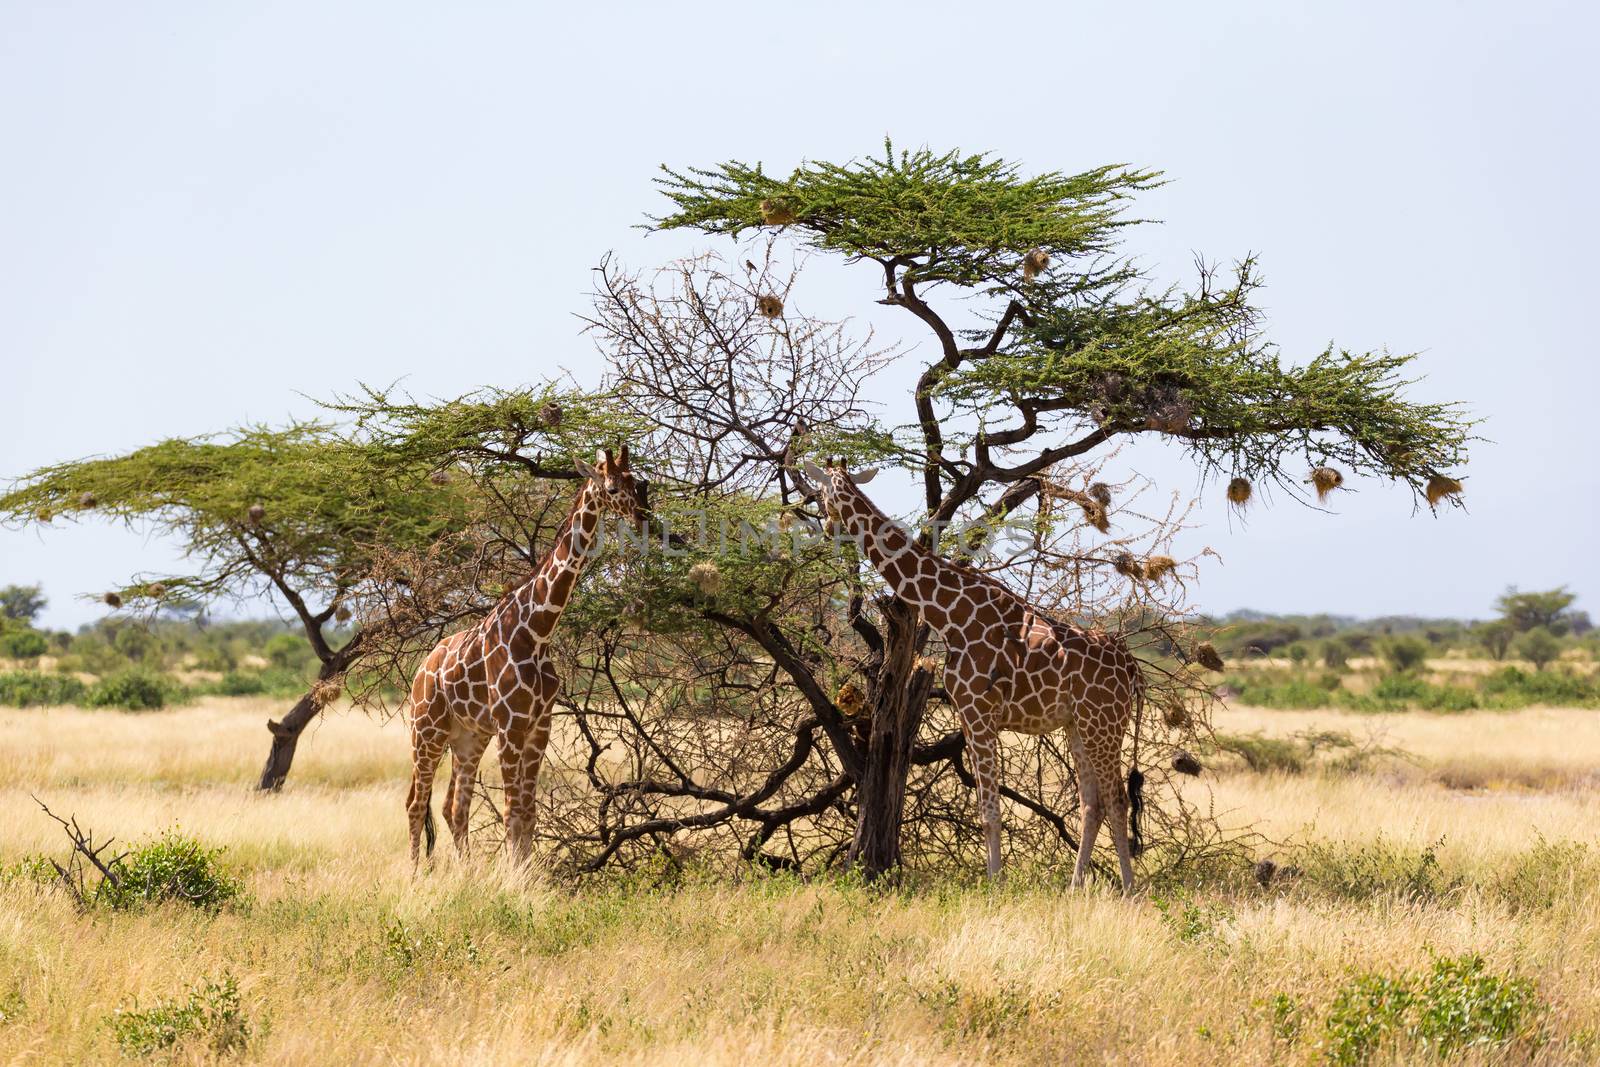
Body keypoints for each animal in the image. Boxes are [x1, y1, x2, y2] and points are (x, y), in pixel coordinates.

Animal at [406, 444, 649, 870]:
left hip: (468, 737)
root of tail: (421, 669)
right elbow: (511, 810)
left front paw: (525, 875)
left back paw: (467, 873)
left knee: (454, 805)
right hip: (427, 730)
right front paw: (513, 877)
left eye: (635, 481)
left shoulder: (539, 725)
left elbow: (527, 811)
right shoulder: (511, 725)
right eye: (611, 486)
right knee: (417, 803)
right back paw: (415, 874)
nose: (641, 515)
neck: (537, 632)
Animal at [806, 460, 1145, 895]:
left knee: (1117, 799)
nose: (827, 526)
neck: (949, 614)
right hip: (1077, 724)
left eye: (821, 492)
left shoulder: (981, 713)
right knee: (1094, 802)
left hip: (1104, 722)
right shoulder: (967, 716)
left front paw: (995, 885)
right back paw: (1073, 888)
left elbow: (990, 810)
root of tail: (1132, 667)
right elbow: (988, 807)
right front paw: (995, 880)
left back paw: (1129, 891)